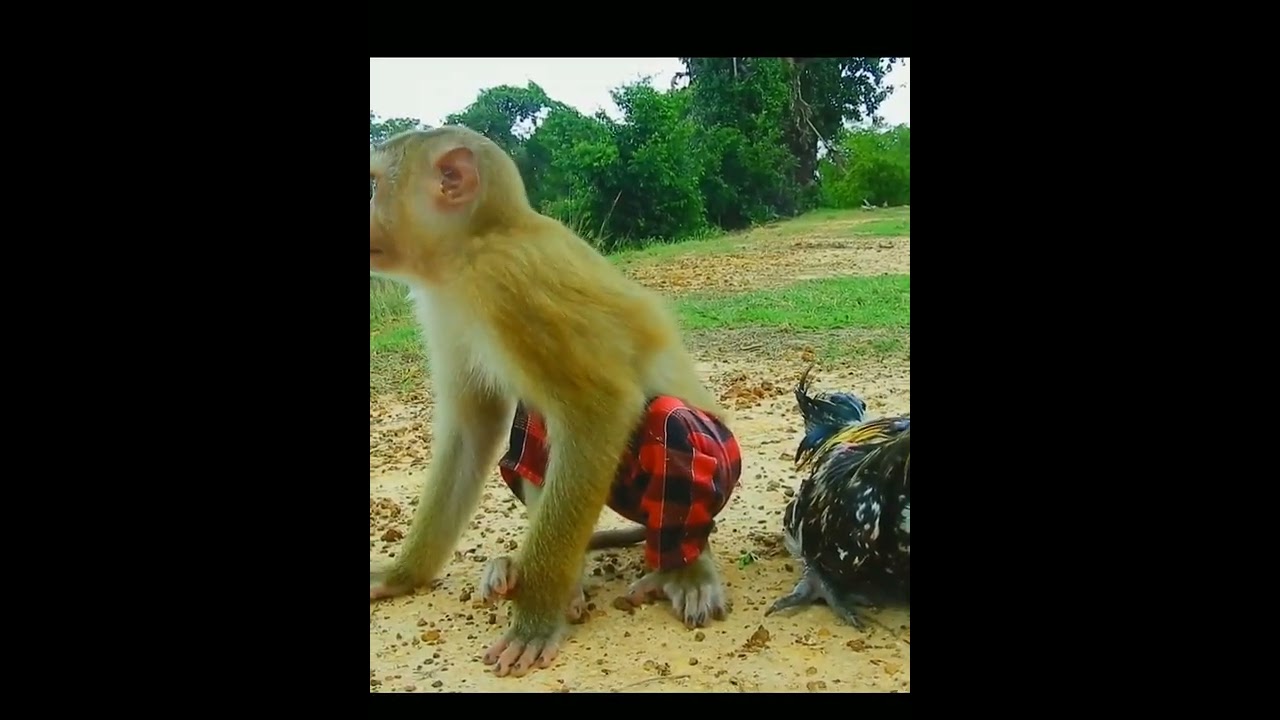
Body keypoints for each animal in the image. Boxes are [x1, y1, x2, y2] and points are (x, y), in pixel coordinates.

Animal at [368, 126, 740, 678]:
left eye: (372, 184)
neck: (475, 242)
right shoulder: (447, 302)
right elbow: (474, 426)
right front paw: (401, 574)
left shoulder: (509, 282)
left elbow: (600, 407)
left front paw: (536, 616)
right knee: (531, 429)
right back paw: (547, 572)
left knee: (670, 421)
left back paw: (683, 566)